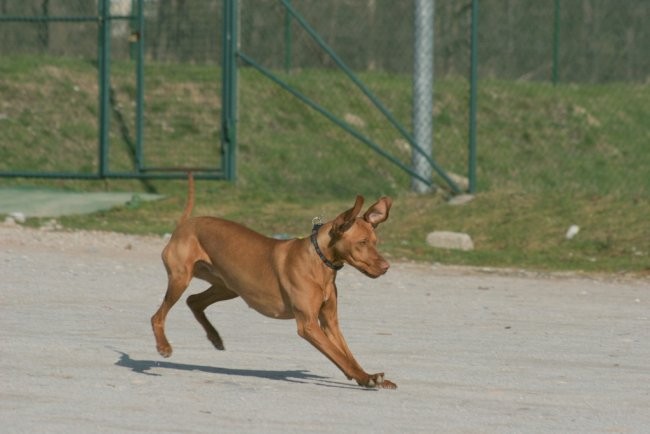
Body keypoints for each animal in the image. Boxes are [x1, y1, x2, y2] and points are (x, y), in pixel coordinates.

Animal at [152, 175, 394, 388]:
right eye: (362, 242)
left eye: (375, 241)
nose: (386, 267)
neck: (319, 262)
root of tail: (185, 224)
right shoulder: (308, 324)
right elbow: (339, 356)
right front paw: (365, 378)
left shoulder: (330, 322)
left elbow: (348, 355)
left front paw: (367, 375)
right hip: (181, 278)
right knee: (158, 316)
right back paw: (164, 346)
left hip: (229, 286)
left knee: (194, 301)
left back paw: (214, 337)